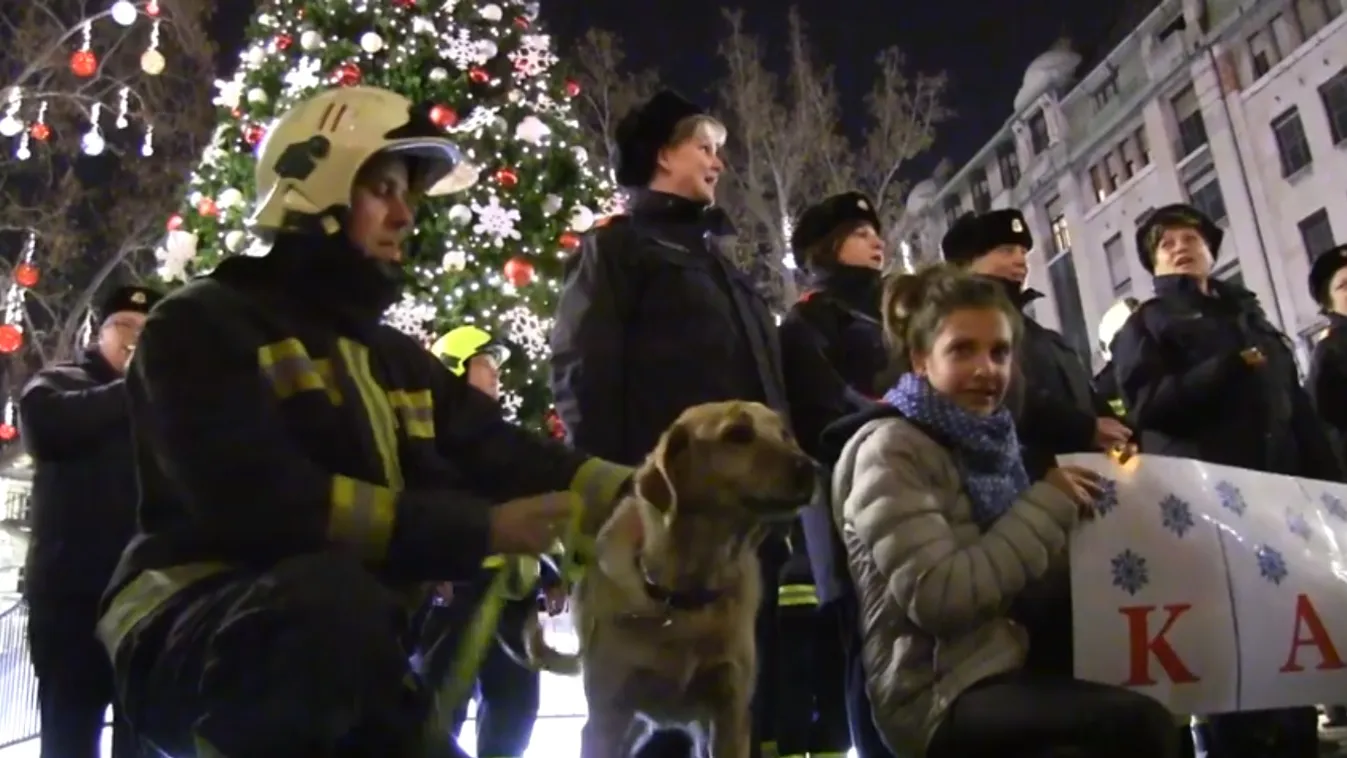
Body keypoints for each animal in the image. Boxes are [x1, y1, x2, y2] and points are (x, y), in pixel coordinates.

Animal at [525, 401, 818, 753]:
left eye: (785, 435)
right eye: (737, 434)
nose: (812, 467)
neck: (685, 597)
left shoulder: (730, 715)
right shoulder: (607, 719)